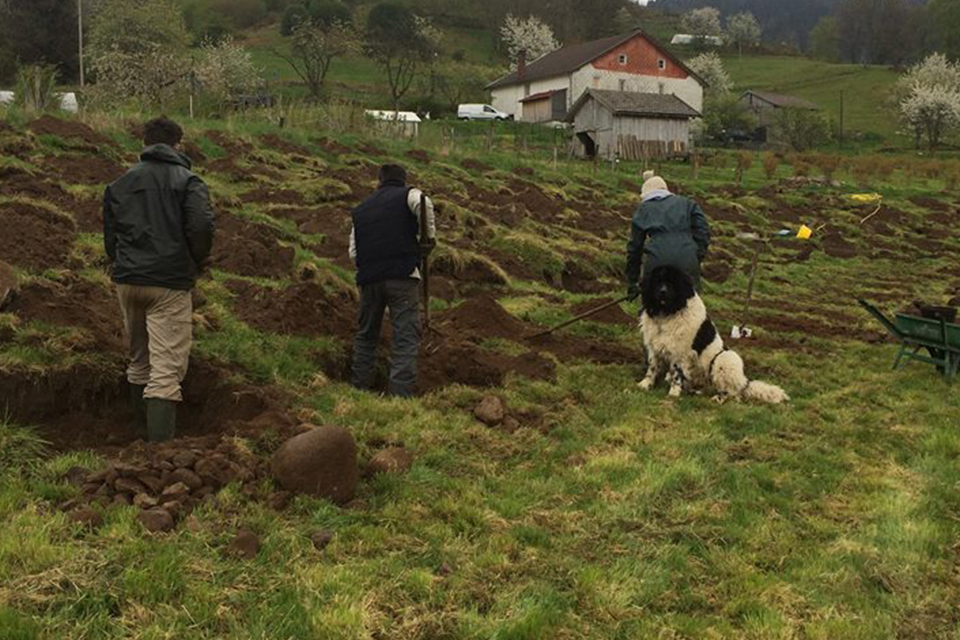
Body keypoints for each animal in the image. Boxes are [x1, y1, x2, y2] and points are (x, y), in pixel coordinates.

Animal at [636, 264, 788, 404]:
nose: (663, 291)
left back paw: (718, 398)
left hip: (725, 358)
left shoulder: (680, 352)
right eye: (657, 281)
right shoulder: (654, 346)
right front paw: (645, 385)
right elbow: (652, 367)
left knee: (732, 393)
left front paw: (673, 394)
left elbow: (676, 374)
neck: (667, 313)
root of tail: (745, 383)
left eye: (672, 282)